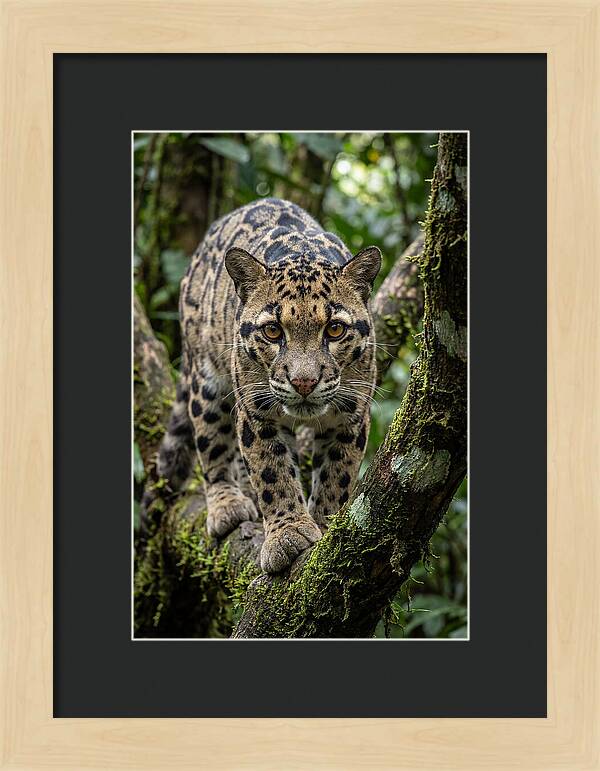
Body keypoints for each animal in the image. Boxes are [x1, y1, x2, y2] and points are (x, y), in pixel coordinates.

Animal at [151, 197, 381, 574]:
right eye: (273, 331)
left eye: (334, 329)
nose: (304, 382)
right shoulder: (257, 410)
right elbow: (272, 472)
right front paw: (287, 534)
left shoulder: (351, 412)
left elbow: (337, 475)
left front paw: (327, 524)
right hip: (206, 380)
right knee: (212, 443)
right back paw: (228, 504)